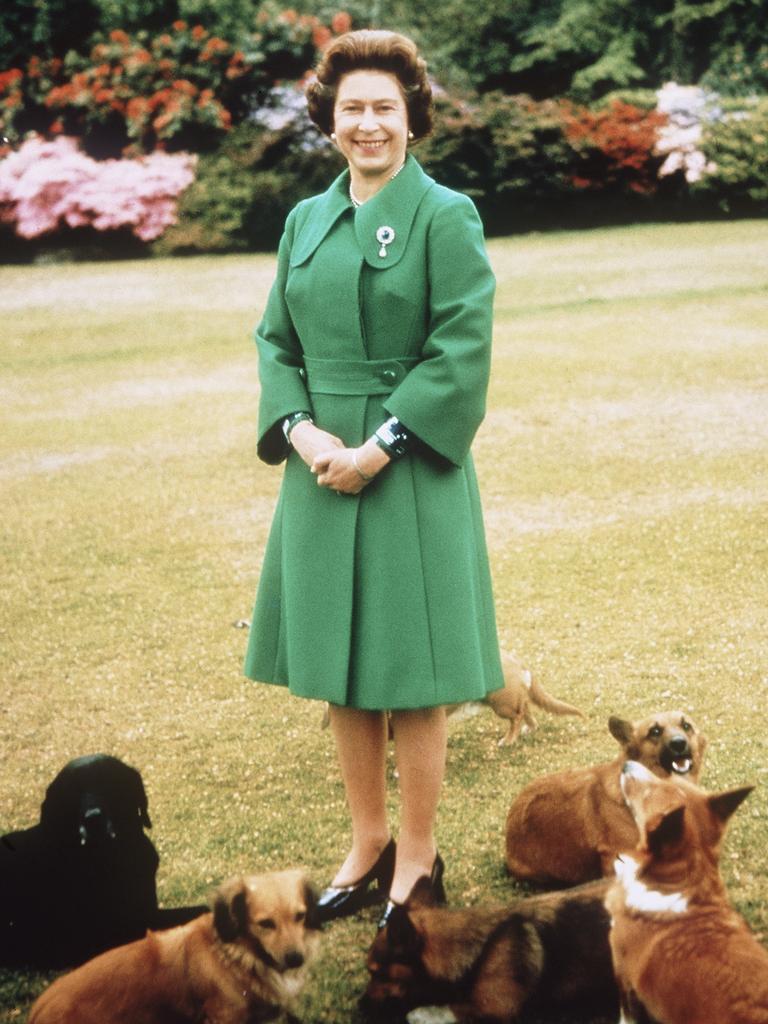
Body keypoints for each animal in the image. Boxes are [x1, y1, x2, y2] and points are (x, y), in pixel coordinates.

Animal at [27, 872, 321, 1024]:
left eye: (300, 916)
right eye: (265, 923)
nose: (295, 959)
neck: (238, 956)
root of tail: (37, 1009)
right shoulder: (226, 1016)